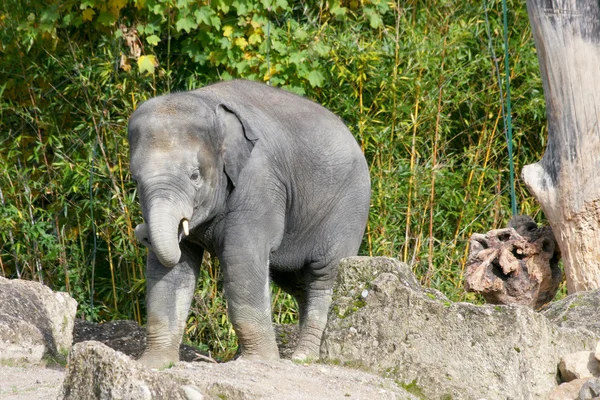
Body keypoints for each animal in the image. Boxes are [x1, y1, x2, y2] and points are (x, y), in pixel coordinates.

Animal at [127, 79, 370, 368]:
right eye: (135, 180)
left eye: (195, 175)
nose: (141, 231)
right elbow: (172, 269)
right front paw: (154, 364)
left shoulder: (258, 182)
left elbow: (241, 255)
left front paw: (259, 361)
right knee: (298, 284)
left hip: (347, 212)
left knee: (324, 275)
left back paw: (303, 357)